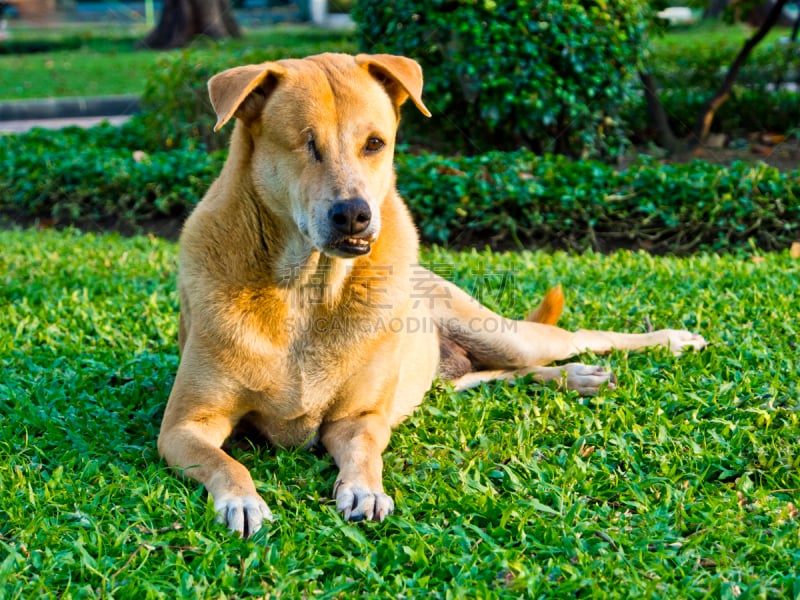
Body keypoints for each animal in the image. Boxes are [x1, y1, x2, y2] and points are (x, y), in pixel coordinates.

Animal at [158, 54, 708, 536]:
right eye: (306, 144)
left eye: (374, 143)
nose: (354, 214)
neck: (306, 290)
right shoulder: (184, 427)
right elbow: (226, 462)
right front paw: (242, 499)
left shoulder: (358, 419)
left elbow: (365, 453)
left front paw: (364, 490)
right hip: (454, 376)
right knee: (500, 376)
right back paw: (575, 377)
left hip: (500, 334)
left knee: (572, 337)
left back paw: (665, 342)